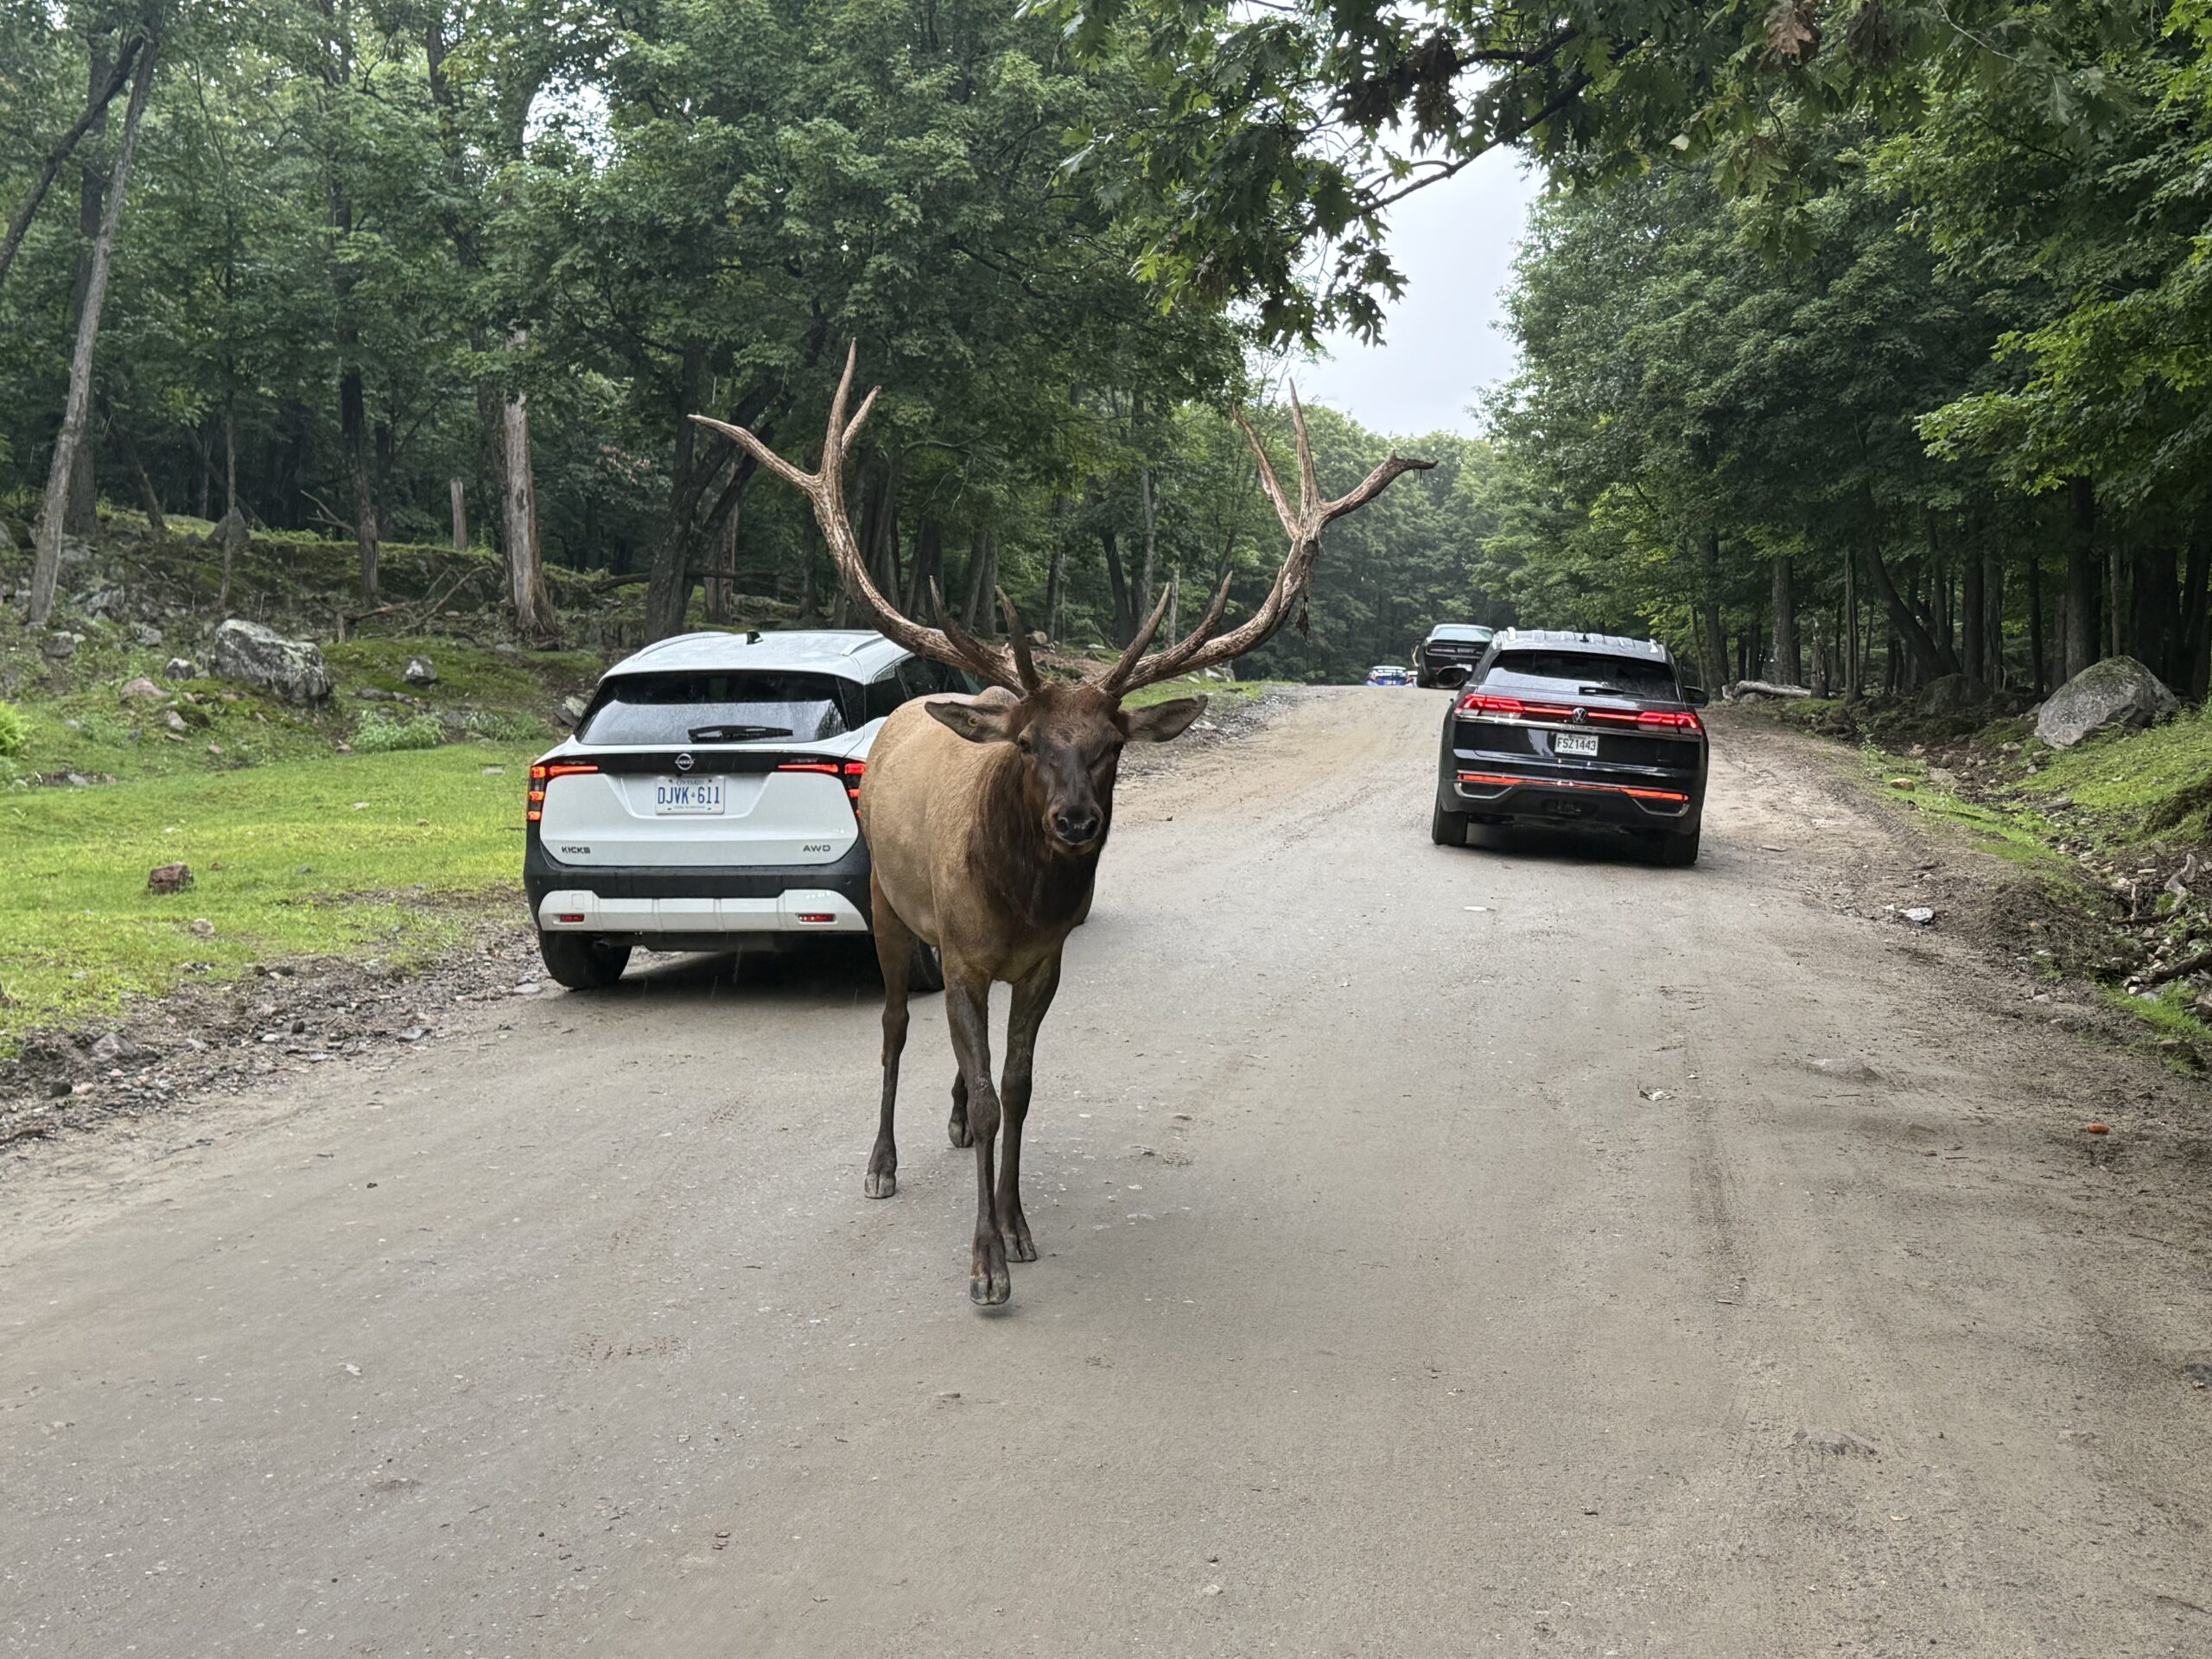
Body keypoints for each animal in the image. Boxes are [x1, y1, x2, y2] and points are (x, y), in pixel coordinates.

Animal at [692, 347, 1428, 1305]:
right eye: (1030, 743)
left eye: (1112, 745)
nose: (1076, 821)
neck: (1014, 906)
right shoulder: (963, 953)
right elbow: (986, 1089)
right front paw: (985, 1266)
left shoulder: (1043, 960)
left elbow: (1018, 1086)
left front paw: (1017, 1224)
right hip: (889, 906)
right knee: (892, 1028)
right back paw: (882, 1162)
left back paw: (949, 1123)